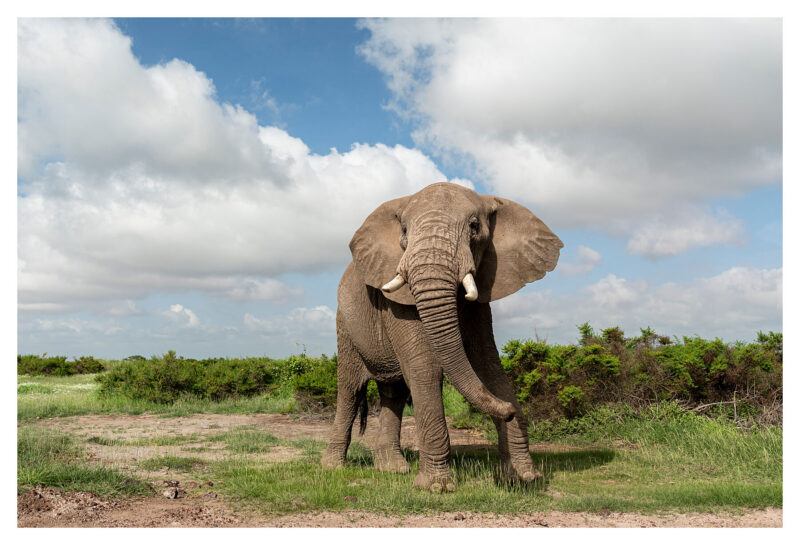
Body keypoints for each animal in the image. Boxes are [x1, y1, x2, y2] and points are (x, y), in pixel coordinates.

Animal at [318, 183, 564, 492]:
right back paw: (332, 467)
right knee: (350, 390)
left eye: (474, 227)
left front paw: (524, 478)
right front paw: (437, 487)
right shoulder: (396, 302)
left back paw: (392, 469)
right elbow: (426, 369)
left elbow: (488, 367)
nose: (508, 410)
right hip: (345, 325)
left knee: (394, 393)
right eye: (404, 231)